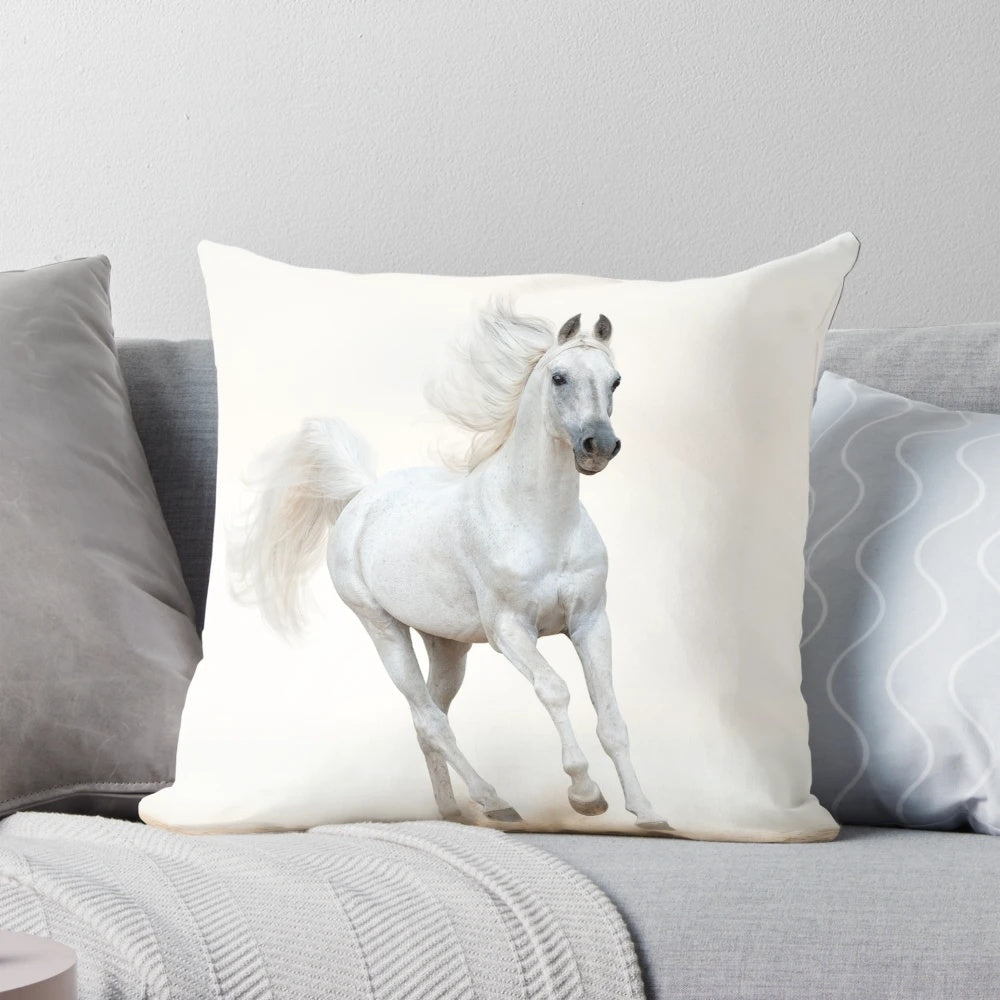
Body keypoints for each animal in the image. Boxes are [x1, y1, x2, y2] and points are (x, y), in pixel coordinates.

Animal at [235, 306, 669, 830]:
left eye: (616, 380)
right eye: (559, 377)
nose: (598, 446)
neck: (542, 523)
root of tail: (362, 496)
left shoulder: (590, 622)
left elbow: (611, 716)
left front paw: (649, 813)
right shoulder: (510, 631)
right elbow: (554, 689)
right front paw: (586, 795)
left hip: (447, 646)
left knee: (430, 719)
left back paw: (451, 811)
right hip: (382, 629)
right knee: (430, 719)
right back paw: (495, 802)